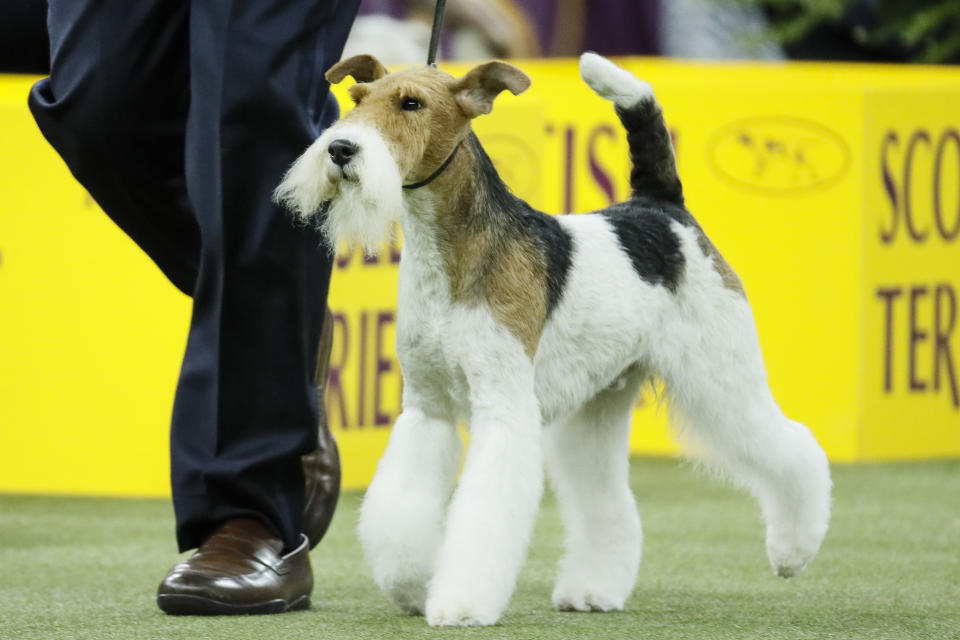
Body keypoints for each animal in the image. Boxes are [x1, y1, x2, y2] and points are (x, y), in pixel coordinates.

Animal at [274, 52, 828, 628]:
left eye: (411, 103)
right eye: (358, 99)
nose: (341, 149)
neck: (452, 253)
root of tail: (662, 208)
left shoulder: (502, 405)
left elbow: (484, 512)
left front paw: (461, 603)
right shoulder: (427, 407)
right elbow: (403, 504)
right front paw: (411, 584)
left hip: (721, 373)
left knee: (794, 447)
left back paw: (793, 551)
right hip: (597, 406)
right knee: (607, 501)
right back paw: (592, 590)